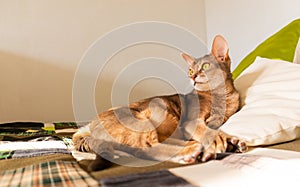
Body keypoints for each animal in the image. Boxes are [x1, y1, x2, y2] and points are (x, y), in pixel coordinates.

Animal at [72, 34, 246, 171]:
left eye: (205, 66)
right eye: (190, 70)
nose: (193, 76)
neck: (220, 96)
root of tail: (89, 127)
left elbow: (217, 128)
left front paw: (229, 138)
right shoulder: (191, 121)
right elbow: (206, 130)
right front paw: (216, 140)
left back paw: (224, 144)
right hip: (153, 110)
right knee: (146, 148)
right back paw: (192, 151)